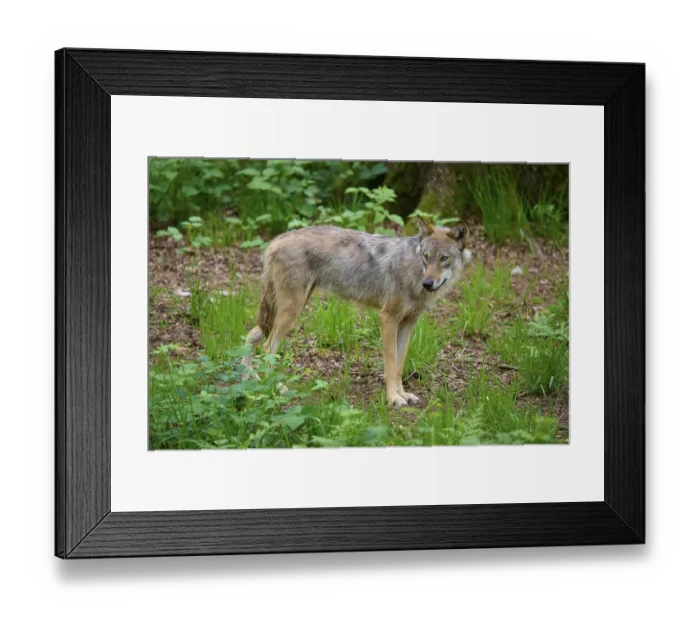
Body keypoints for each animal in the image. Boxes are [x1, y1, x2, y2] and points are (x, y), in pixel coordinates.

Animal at [243, 217, 472, 408]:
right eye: (426, 257)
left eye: (444, 258)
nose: (428, 283)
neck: (413, 271)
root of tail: (276, 240)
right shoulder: (388, 318)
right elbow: (390, 366)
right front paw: (393, 398)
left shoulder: (408, 324)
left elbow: (399, 366)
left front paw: (404, 395)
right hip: (291, 313)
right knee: (267, 348)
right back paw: (273, 387)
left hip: (285, 312)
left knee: (251, 335)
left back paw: (248, 379)